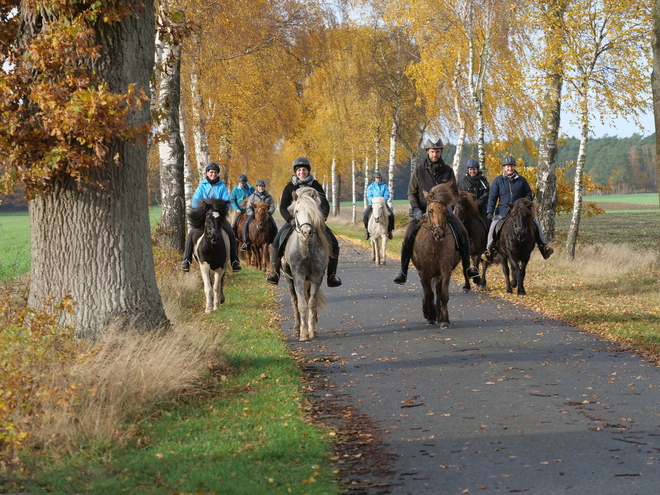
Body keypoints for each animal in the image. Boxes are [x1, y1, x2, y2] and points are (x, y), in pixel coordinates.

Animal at [282, 186, 330, 340]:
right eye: (296, 211)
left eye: (313, 211)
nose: (306, 231)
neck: (306, 248)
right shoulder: (298, 276)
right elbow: (302, 304)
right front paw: (303, 334)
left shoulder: (316, 277)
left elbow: (312, 303)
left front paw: (312, 330)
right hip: (289, 278)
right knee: (295, 301)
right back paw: (297, 328)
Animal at [410, 184, 462, 328]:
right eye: (431, 211)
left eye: (445, 211)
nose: (439, 234)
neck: (435, 245)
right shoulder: (423, 272)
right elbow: (428, 294)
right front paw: (431, 317)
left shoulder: (445, 270)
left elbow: (443, 294)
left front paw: (444, 319)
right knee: (427, 292)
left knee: (438, 291)